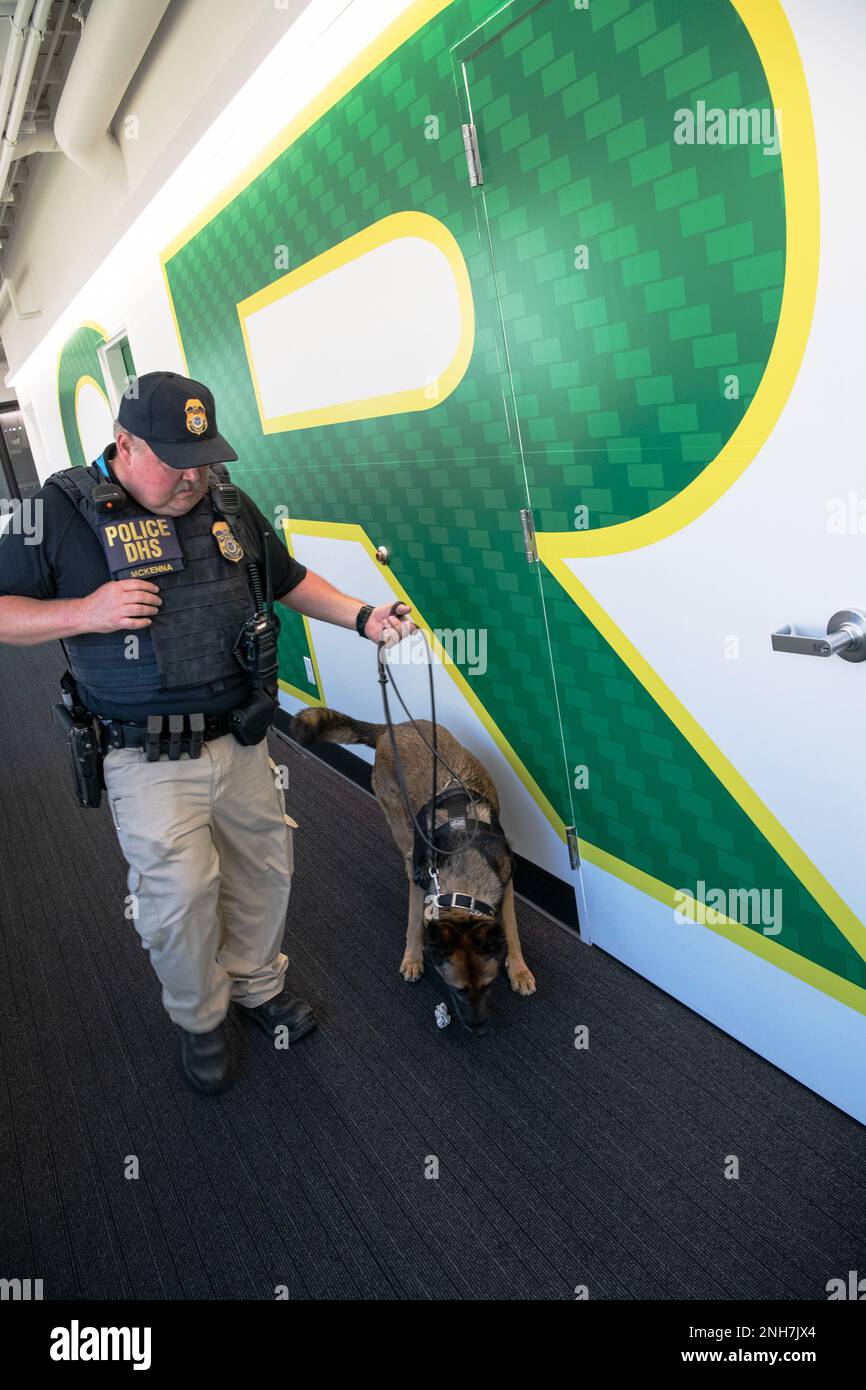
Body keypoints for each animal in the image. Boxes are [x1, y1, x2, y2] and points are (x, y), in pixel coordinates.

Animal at [291, 706, 536, 1034]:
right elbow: (412, 923)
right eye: (457, 990)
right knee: (406, 855)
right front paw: (413, 956)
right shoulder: (423, 881)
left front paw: (519, 969)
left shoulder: (506, 882)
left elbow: (511, 928)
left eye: (487, 986)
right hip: (401, 827)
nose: (480, 1029)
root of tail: (391, 728)